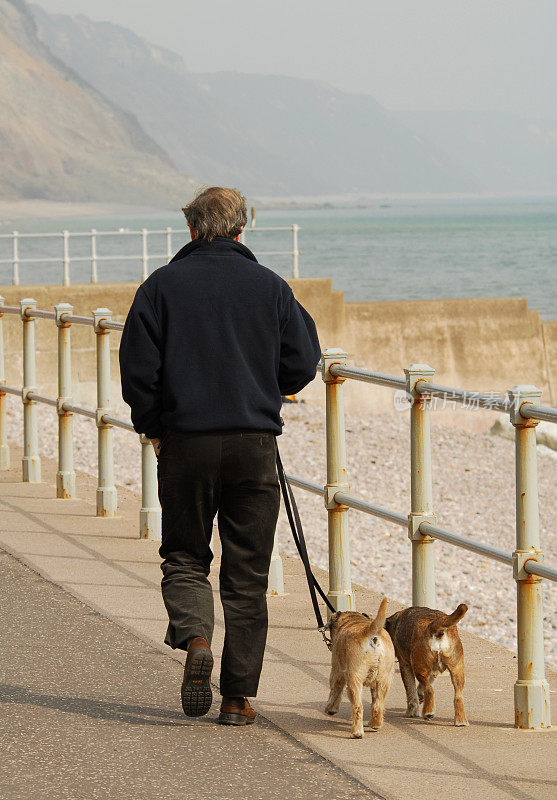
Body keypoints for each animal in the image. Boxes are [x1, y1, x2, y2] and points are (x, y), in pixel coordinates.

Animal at [322, 596, 396, 740]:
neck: (353, 620)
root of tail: (372, 635)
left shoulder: (337, 671)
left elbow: (335, 690)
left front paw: (330, 709)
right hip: (384, 680)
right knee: (378, 704)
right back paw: (375, 724)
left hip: (354, 681)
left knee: (358, 707)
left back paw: (356, 732)